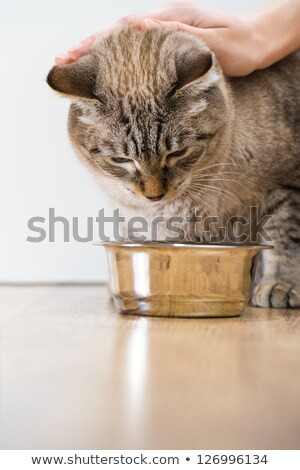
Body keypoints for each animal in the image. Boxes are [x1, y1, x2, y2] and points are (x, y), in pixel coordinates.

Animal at [47, 25, 300, 308]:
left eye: (176, 153)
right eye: (122, 160)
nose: (154, 195)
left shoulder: (287, 188)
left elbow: (285, 241)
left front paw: (281, 285)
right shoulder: (148, 225)